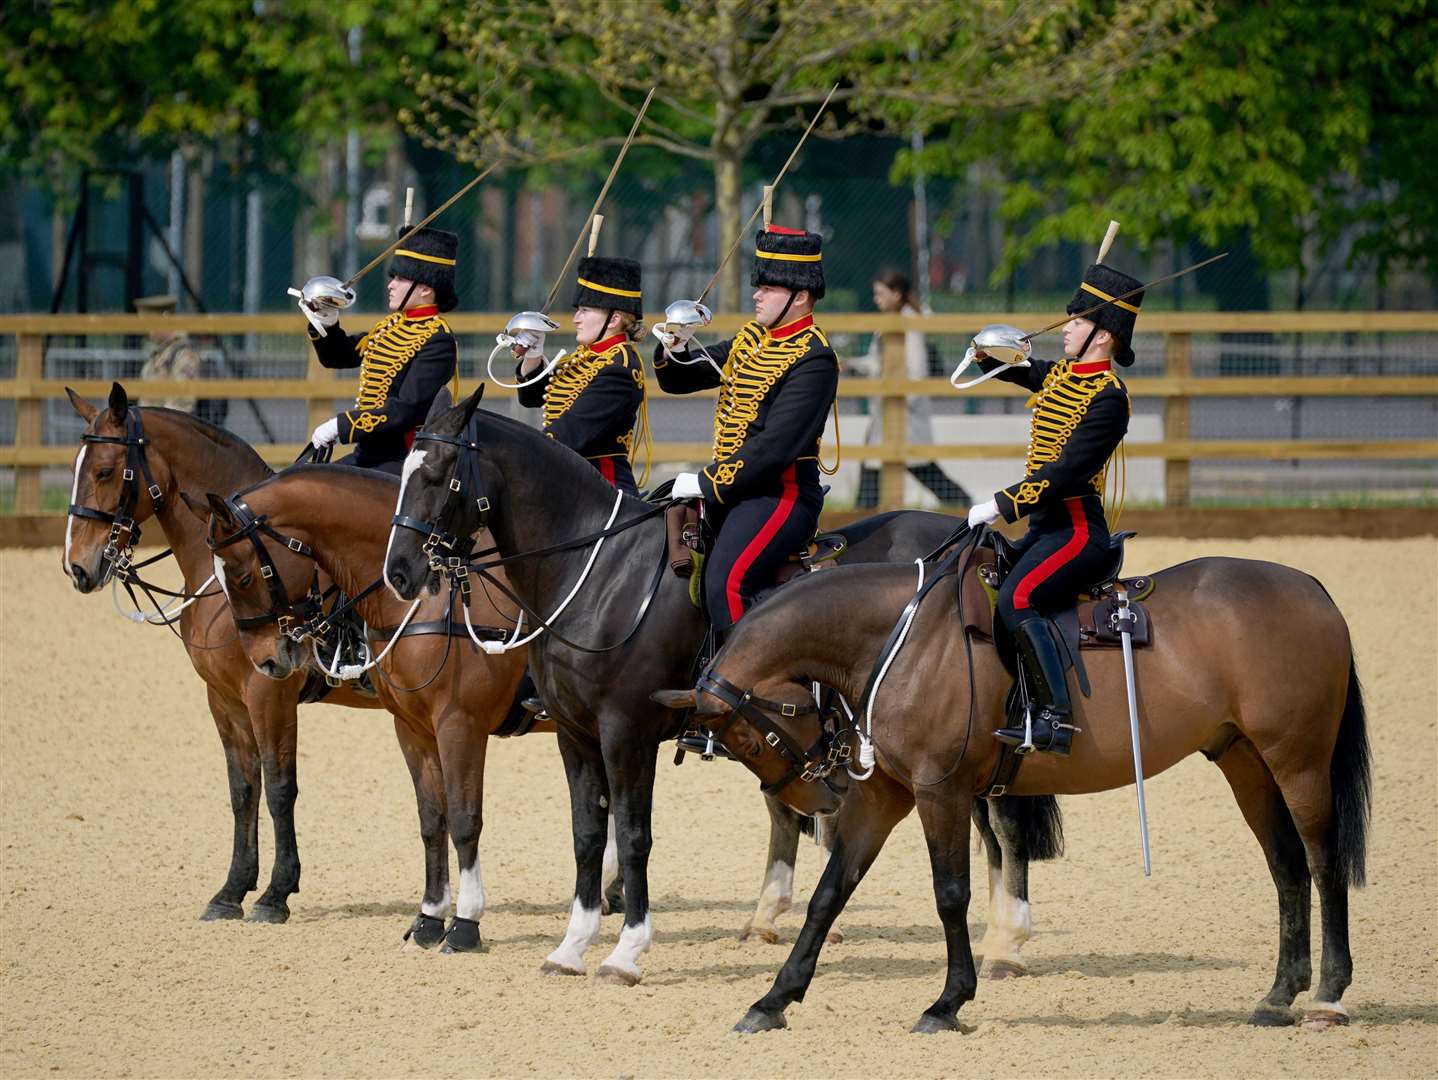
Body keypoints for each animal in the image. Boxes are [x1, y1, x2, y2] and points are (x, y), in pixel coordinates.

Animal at [62, 385, 382, 926]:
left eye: (105, 471)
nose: (77, 568)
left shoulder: (269, 693)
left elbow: (279, 788)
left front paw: (275, 893)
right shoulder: (225, 698)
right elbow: (243, 789)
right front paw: (232, 890)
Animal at [185, 468, 534, 949]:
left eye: (241, 577)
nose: (267, 661)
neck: (424, 599)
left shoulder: (460, 725)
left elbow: (464, 819)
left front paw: (465, 925)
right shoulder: (412, 728)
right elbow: (433, 818)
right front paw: (428, 921)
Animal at [382, 391, 1069, 989]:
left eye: (438, 473)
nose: (401, 572)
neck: (601, 574)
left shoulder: (626, 733)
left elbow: (633, 837)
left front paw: (626, 952)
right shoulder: (575, 736)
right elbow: (587, 835)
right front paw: (571, 947)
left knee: (1003, 819)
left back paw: (1008, 944)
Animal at [652, 537, 1368, 1035]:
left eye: (751, 738)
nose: (816, 799)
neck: (900, 637)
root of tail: (1310, 587)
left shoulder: (938, 793)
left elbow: (951, 896)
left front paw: (948, 1002)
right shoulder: (884, 795)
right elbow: (830, 894)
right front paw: (774, 998)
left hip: (1298, 763)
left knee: (1324, 864)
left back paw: (1328, 995)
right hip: (1244, 762)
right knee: (1286, 869)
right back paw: (1279, 995)